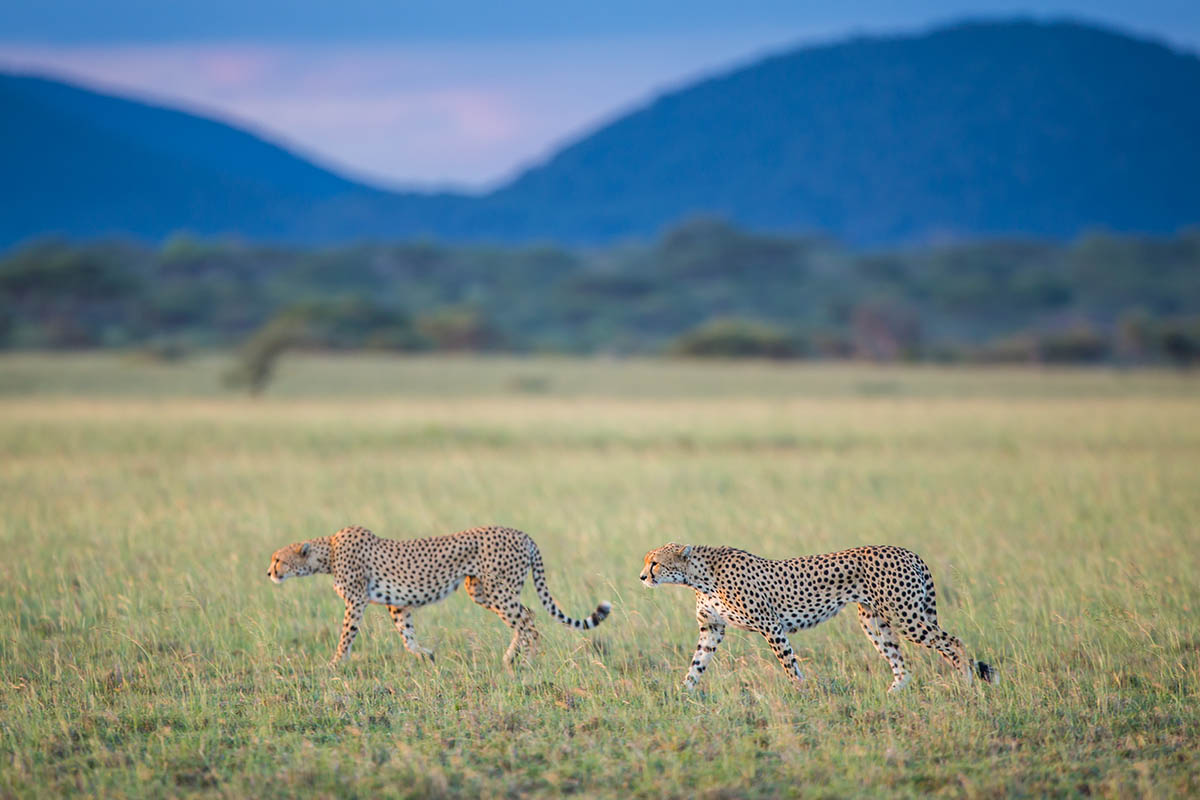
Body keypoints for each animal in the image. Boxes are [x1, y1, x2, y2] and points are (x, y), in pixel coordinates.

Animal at [270, 525, 609, 671]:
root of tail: (522, 533)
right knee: (526, 617)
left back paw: (527, 661)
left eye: (278, 560)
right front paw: (425, 655)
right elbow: (407, 636)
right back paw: (511, 657)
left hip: (498, 590)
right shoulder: (398, 604)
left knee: (528, 622)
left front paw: (334, 663)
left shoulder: (355, 602)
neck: (327, 551)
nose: (268, 572)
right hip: (481, 590)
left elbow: (346, 635)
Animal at [638, 544, 993, 695]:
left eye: (655, 563)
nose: (642, 577)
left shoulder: (771, 625)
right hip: (874, 621)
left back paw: (966, 684)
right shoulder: (712, 628)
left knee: (953, 642)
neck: (698, 575)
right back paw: (892, 695)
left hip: (906, 615)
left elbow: (788, 663)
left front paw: (801, 693)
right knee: (901, 663)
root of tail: (907, 550)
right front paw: (684, 693)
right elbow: (697, 663)